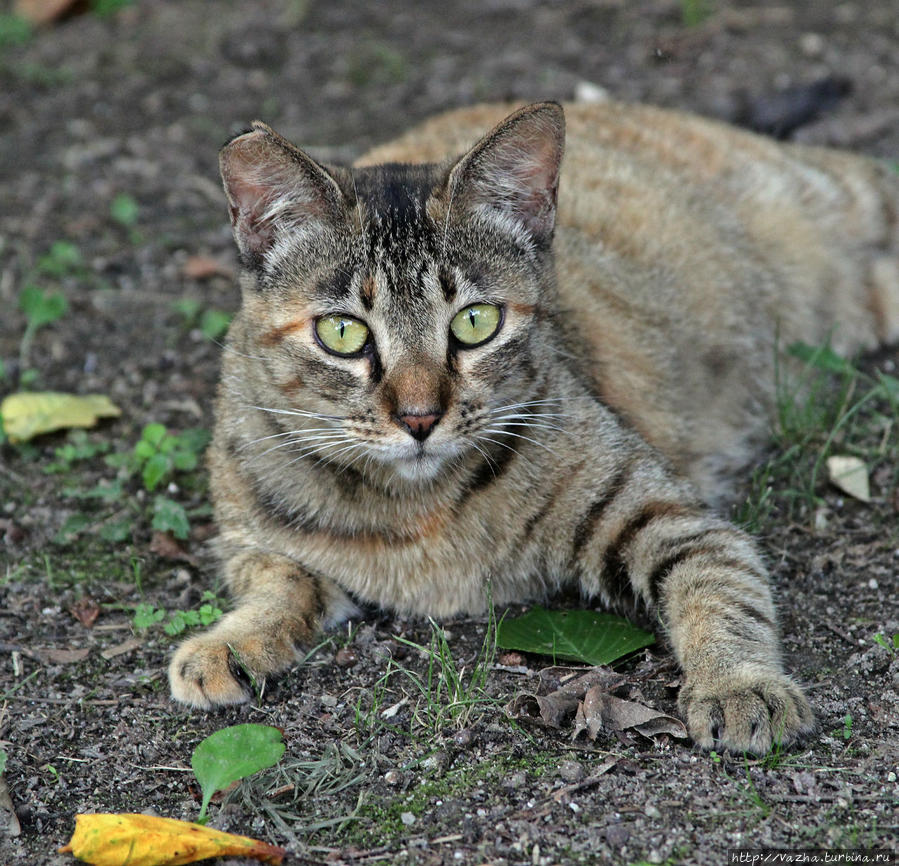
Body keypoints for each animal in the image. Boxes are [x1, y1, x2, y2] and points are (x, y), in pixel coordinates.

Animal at [169, 99, 899, 748]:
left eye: (475, 322)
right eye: (342, 333)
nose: (419, 418)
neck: (414, 514)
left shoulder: (665, 518)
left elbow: (720, 586)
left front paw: (738, 683)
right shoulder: (252, 540)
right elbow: (278, 583)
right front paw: (230, 642)